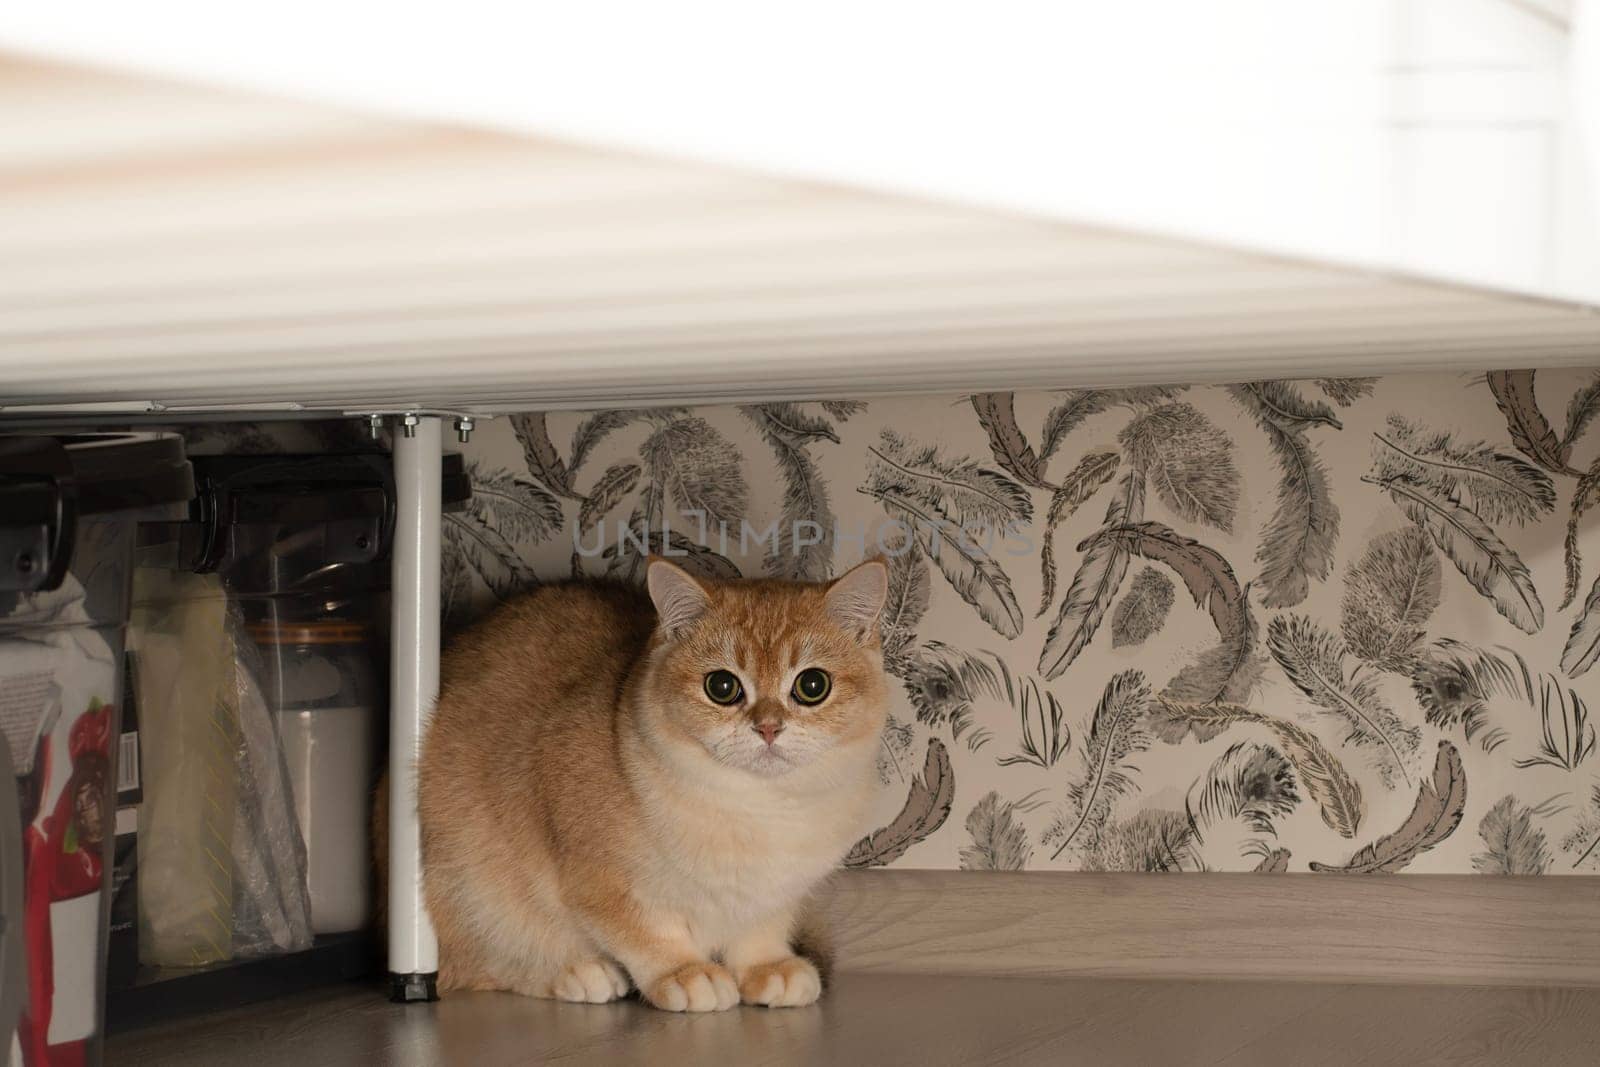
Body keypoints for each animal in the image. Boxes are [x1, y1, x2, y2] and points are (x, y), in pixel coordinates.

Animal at [409, 556, 889, 1017]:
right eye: (722, 686)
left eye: (813, 685)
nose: (768, 728)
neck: (762, 808)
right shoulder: (602, 882)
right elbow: (646, 932)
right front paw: (685, 972)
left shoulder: (776, 893)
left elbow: (759, 930)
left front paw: (766, 966)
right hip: (467, 882)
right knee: (477, 965)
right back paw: (576, 972)